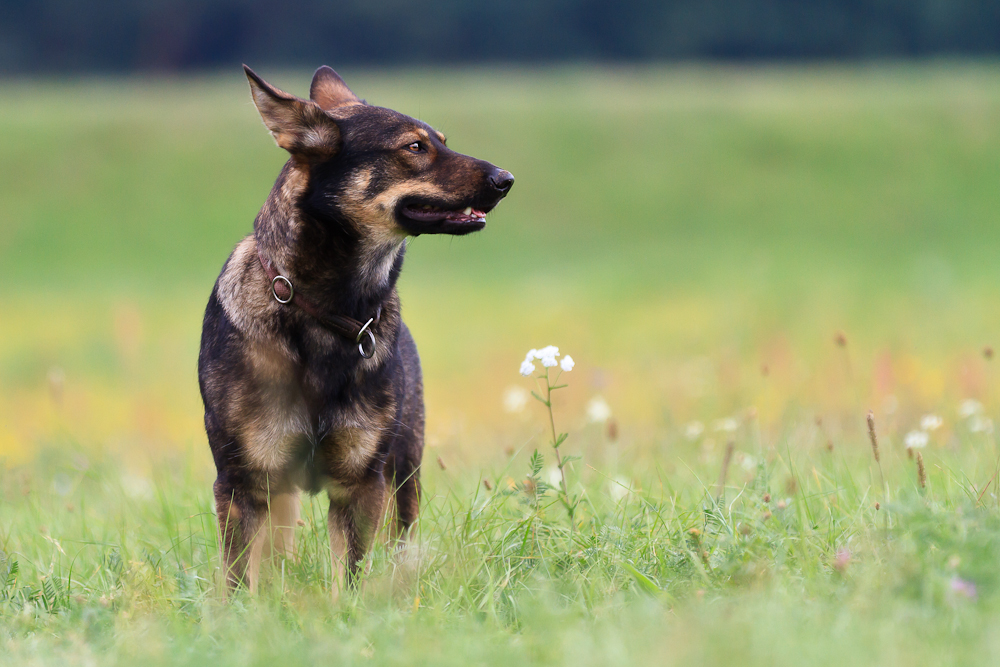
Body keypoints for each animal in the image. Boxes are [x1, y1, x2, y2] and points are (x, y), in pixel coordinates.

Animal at [195, 65, 512, 596]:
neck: (327, 310)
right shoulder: (244, 482)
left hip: (405, 471)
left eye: (442, 141)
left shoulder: (362, 482)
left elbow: (351, 573)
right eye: (415, 147)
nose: (506, 179)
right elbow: (239, 577)